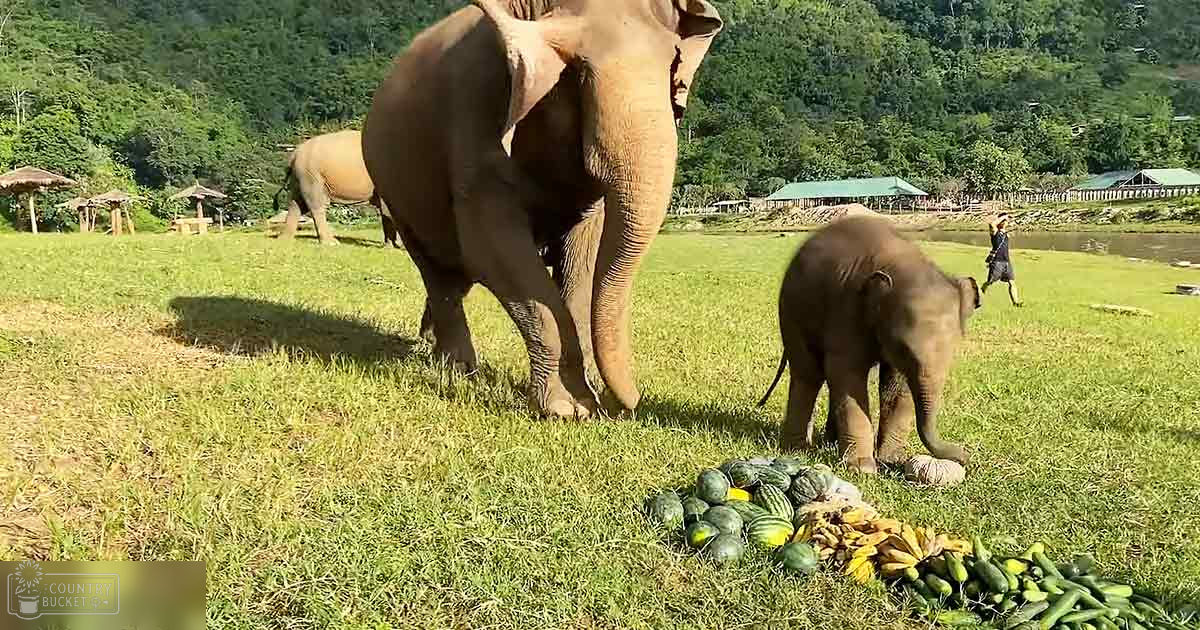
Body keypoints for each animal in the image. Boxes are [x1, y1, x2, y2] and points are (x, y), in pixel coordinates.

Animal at [362, 0, 723, 418]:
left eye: (671, 66)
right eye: (578, 75)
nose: (629, 405)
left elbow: (583, 258)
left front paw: (586, 394)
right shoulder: (479, 112)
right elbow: (493, 249)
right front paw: (571, 409)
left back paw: (430, 343)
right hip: (395, 191)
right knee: (438, 270)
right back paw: (458, 369)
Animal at [757, 216, 980, 474]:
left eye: (954, 349)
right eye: (904, 349)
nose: (965, 456)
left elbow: (896, 386)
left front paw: (890, 459)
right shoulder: (847, 309)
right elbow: (848, 375)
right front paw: (863, 468)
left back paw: (829, 442)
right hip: (792, 311)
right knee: (808, 373)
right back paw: (798, 449)